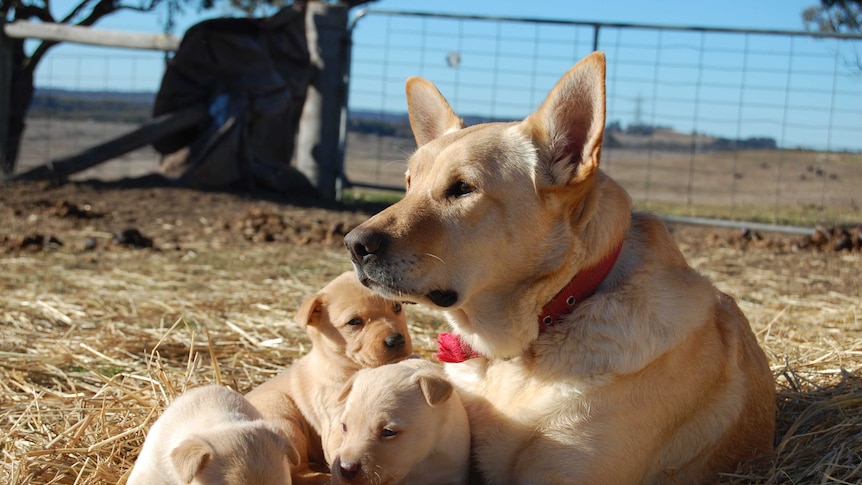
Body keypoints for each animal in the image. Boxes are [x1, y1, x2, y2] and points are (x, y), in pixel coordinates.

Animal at [246, 270, 416, 482]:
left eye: (396, 307)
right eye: (354, 322)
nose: (396, 339)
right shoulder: (336, 421)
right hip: (282, 416)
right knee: (299, 471)